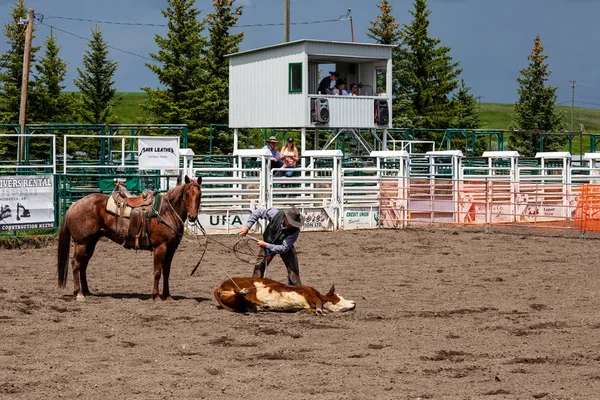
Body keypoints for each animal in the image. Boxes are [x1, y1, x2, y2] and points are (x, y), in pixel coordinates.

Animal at [57, 177, 202, 302]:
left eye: (199, 194)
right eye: (187, 194)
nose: (192, 217)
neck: (166, 213)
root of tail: (73, 206)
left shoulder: (171, 249)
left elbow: (166, 272)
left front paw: (168, 296)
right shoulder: (160, 247)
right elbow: (157, 272)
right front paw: (156, 296)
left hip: (91, 242)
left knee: (83, 264)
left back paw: (86, 291)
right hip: (81, 243)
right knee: (76, 264)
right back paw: (79, 293)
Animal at [213, 276, 356, 314]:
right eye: (339, 297)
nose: (354, 303)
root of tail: (220, 286)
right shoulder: (308, 292)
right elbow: (318, 302)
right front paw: (321, 310)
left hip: (234, 300)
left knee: (239, 298)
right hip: (249, 287)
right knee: (244, 294)